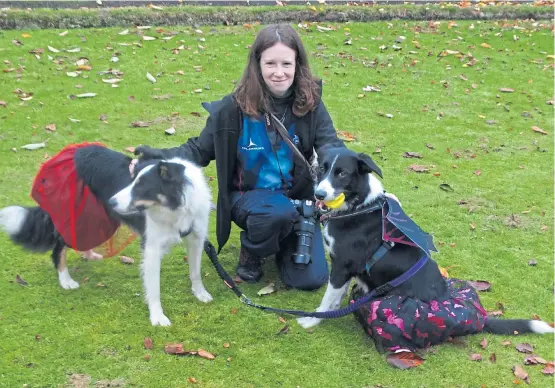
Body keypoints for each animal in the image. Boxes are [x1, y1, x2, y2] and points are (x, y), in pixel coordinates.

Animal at [0, 144, 213, 326]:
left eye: (141, 186)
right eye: (131, 180)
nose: (111, 201)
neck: (176, 207)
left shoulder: (196, 238)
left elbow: (195, 272)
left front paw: (200, 293)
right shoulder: (152, 247)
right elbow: (154, 288)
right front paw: (157, 317)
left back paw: (89, 255)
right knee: (59, 247)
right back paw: (65, 280)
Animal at [300, 147, 552, 350]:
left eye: (342, 173)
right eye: (321, 169)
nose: (319, 194)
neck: (359, 206)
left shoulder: (342, 265)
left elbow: (327, 298)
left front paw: (312, 320)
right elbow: (336, 296)